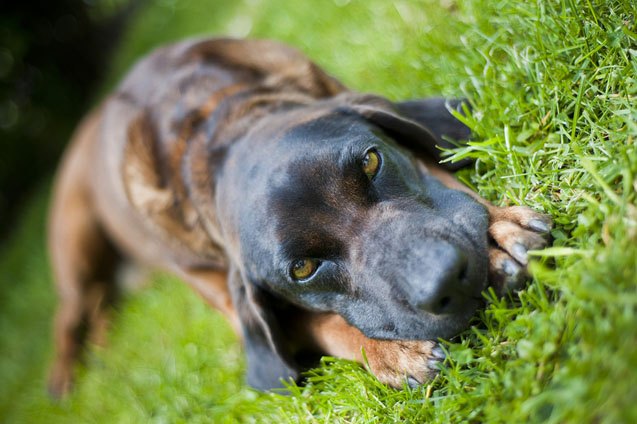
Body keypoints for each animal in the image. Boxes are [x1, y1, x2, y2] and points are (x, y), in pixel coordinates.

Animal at [47, 38, 548, 400]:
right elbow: (319, 324)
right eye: (303, 269)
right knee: (70, 311)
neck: (213, 125)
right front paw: (390, 351)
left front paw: (498, 233)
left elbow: (439, 171)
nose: (447, 279)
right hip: (74, 247)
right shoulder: (228, 301)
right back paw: (65, 372)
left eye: (371, 162)